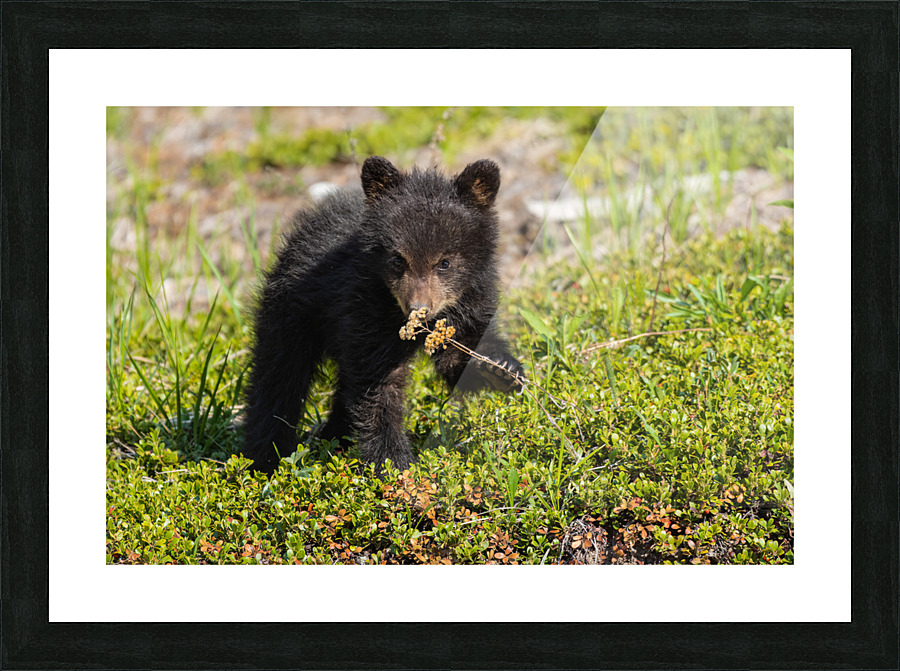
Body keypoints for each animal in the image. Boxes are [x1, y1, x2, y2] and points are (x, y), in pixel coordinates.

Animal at [241, 155, 525, 474]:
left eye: (445, 262)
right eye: (398, 259)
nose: (417, 308)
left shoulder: (471, 302)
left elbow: (460, 355)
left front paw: (501, 369)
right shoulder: (364, 309)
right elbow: (378, 388)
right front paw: (394, 462)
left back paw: (334, 439)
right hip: (293, 309)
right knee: (279, 376)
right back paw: (265, 459)